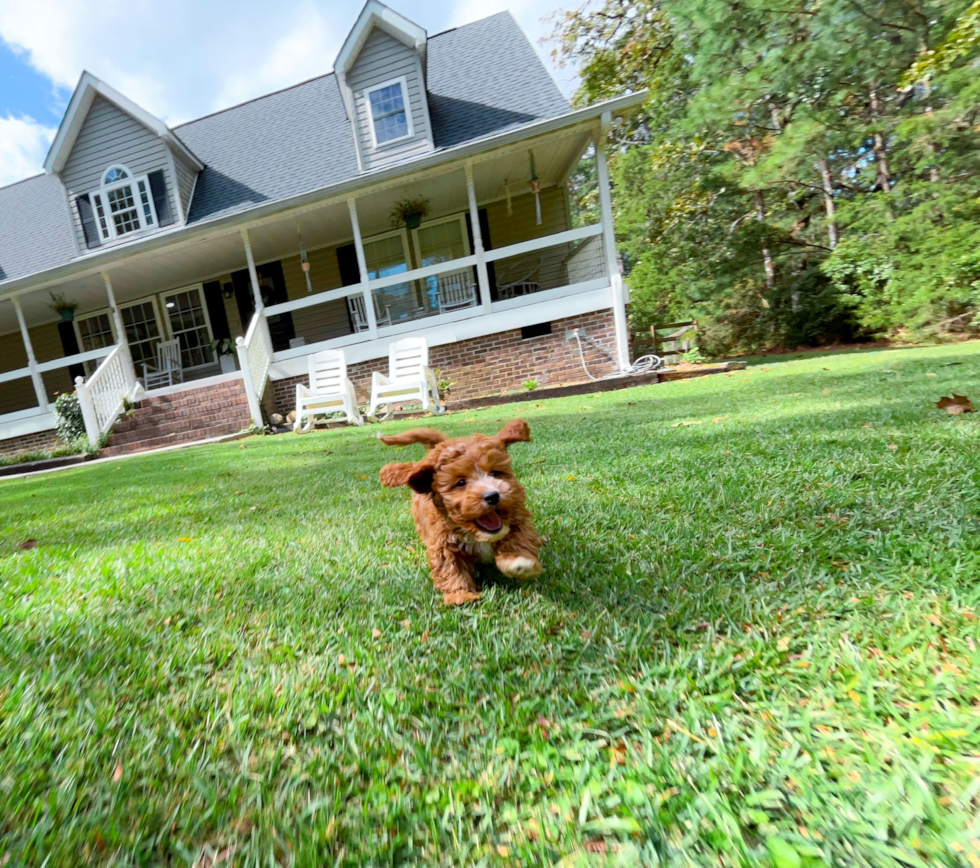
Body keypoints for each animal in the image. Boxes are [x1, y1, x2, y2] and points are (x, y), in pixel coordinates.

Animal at [378, 418, 544, 604]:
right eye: (461, 482)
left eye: (495, 473)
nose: (492, 496)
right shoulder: (442, 541)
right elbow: (449, 566)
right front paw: (461, 594)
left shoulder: (517, 518)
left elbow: (520, 540)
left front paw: (519, 562)